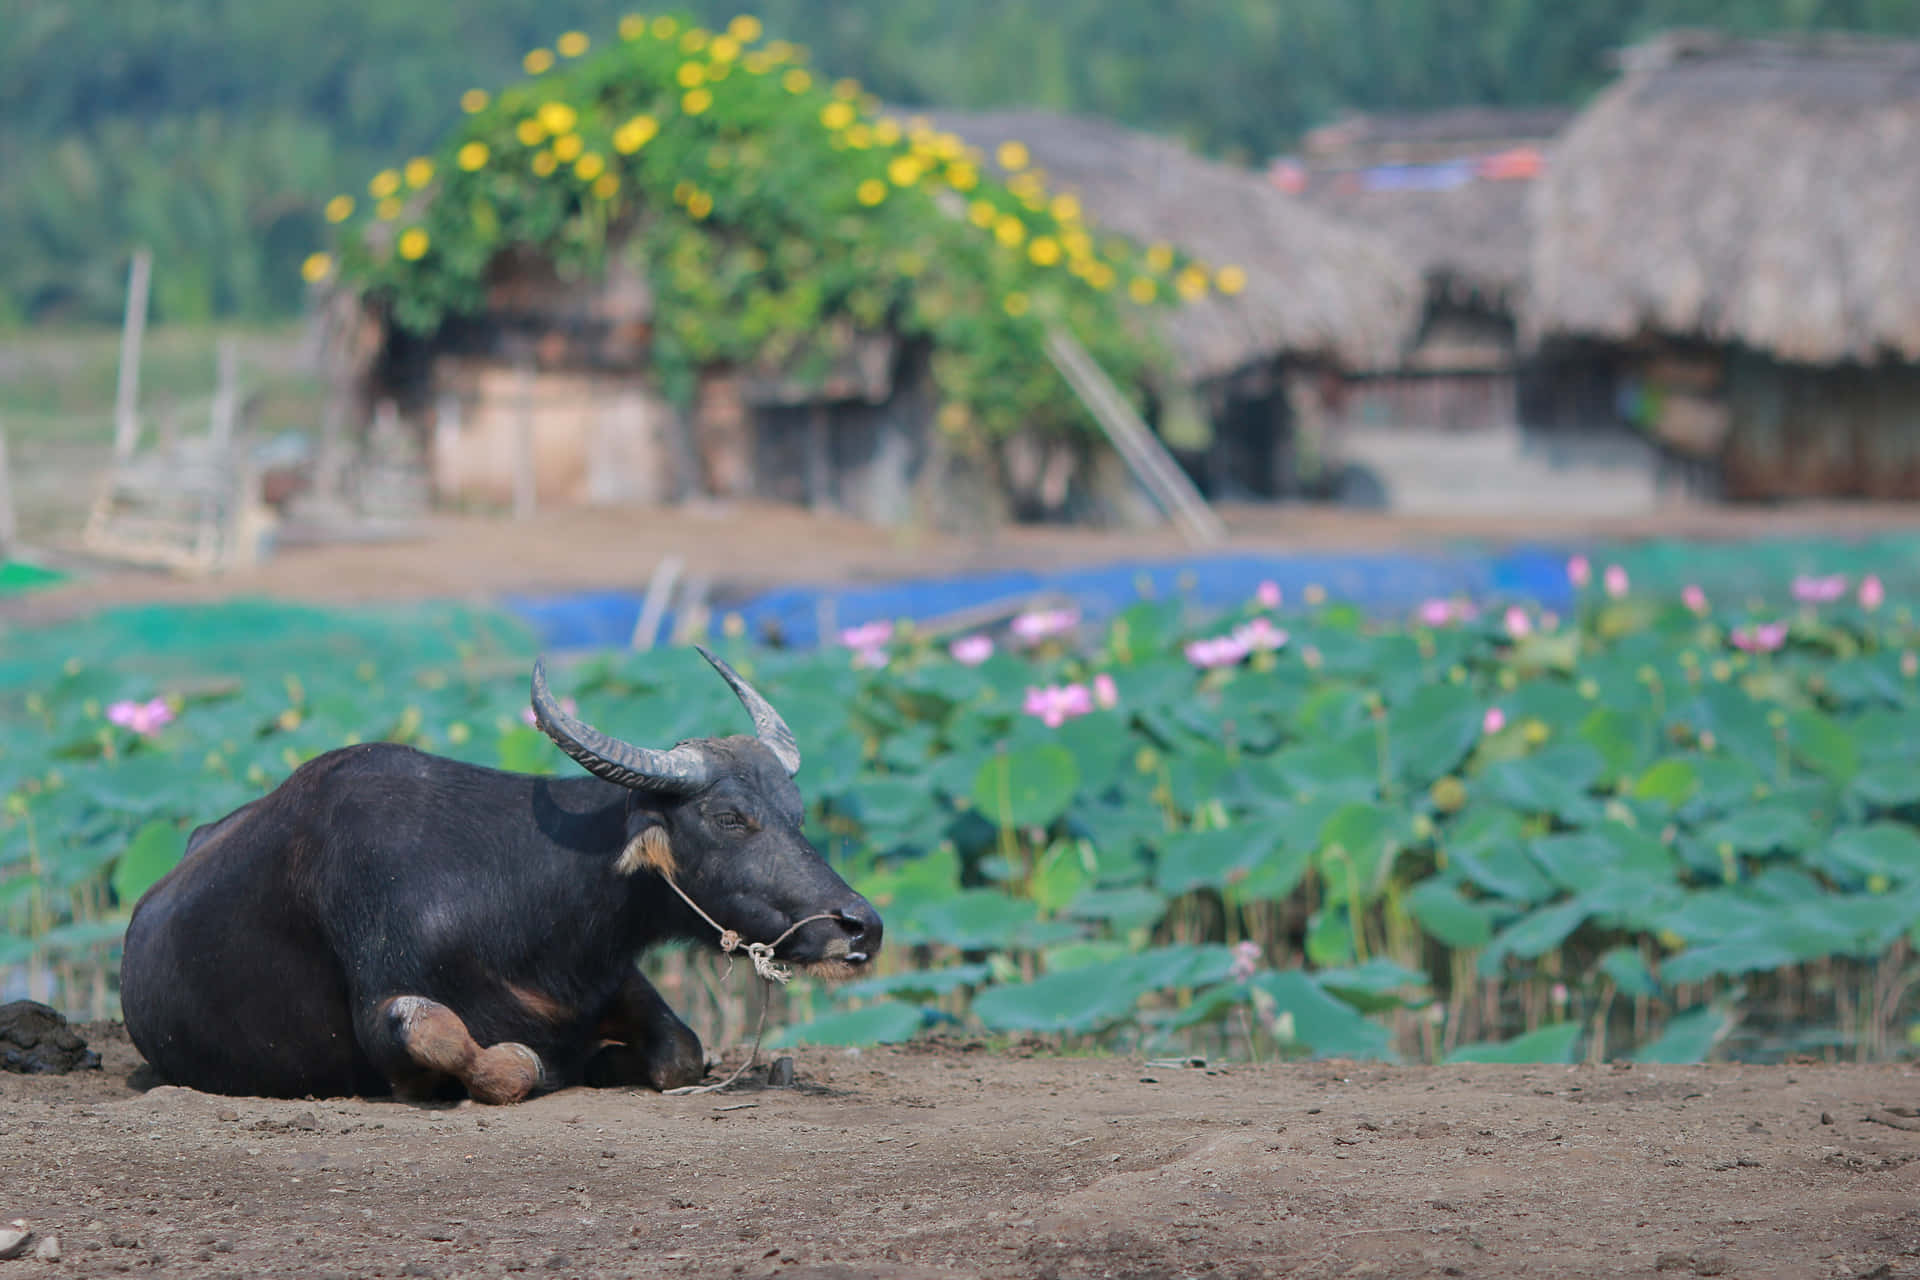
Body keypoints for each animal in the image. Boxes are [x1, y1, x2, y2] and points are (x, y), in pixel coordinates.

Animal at [112, 652, 879, 1105]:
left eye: (796, 813)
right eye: (729, 817)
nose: (860, 926)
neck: (515, 897)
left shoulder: (613, 979)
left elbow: (682, 1054)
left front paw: (609, 1062)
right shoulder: (385, 1015)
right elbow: (484, 1052)